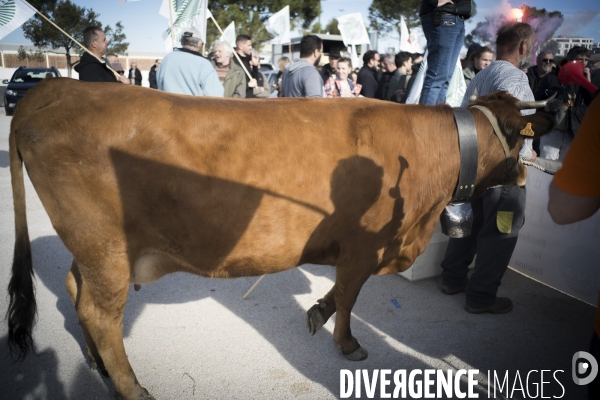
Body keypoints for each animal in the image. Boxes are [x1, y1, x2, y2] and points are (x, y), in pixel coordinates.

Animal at [8, 79, 552, 400]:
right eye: (519, 137)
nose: (527, 176)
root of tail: (55, 87)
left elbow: (338, 293)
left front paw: (317, 312)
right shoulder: (364, 245)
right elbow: (351, 296)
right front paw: (347, 342)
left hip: (95, 253)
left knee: (76, 293)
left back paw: (99, 368)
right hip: (106, 249)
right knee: (101, 314)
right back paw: (132, 387)